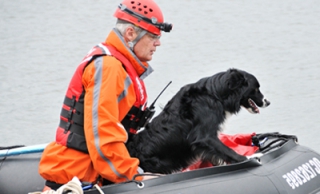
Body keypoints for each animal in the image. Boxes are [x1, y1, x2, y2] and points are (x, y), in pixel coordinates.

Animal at [125, 68, 270, 174]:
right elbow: (227, 150)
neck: (216, 94)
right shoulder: (205, 137)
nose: (268, 102)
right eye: (256, 89)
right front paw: (249, 158)